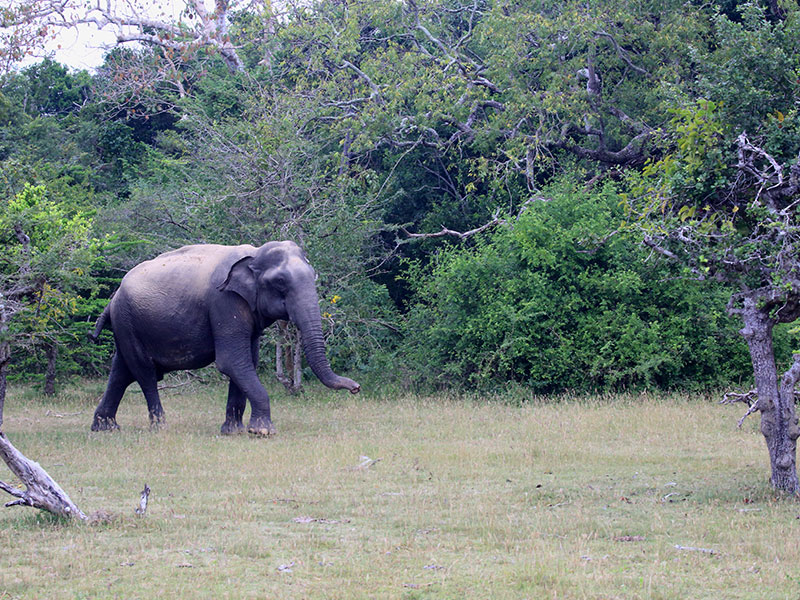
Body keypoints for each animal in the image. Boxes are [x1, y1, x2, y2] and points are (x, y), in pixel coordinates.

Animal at [89, 240, 360, 436]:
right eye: (280, 282)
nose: (356, 388)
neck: (253, 255)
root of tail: (113, 297)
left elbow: (246, 361)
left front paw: (234, 432)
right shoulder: (224, 302)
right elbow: (232, 361)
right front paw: (263, 432)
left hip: (127, 325)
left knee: (122, 371)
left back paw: (105, 429)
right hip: (127, 321)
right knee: (143, 372)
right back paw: (159, 428)